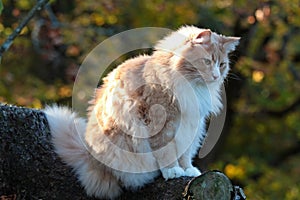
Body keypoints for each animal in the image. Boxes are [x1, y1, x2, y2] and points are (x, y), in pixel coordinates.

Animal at [44, 25, 240, 199]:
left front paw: (188, 170)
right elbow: (166, 151)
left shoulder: (191, 124)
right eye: (207, 61)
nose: (216, 76)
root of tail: (89, 158)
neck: (190, 86)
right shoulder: (162, 122)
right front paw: (172, 170)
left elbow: (184, 153)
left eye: (222, 64)